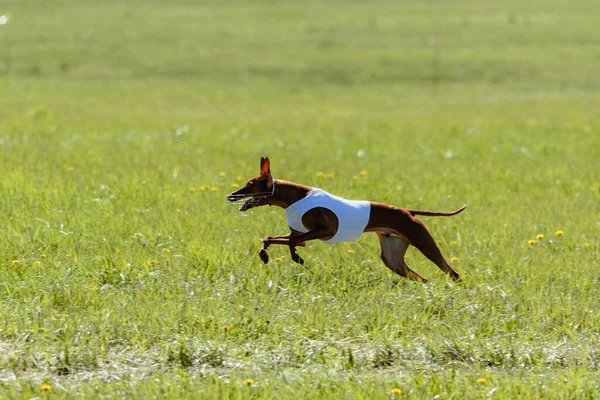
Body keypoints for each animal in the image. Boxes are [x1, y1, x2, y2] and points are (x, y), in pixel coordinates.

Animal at [225, 156, 464, 282]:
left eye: (249, 185)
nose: (230, 196)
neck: (296, 197)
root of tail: (407, 211)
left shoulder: (325, 230)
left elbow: (292, 242)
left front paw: (296, 258)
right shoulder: (302, 234)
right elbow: (271, 238)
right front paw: (264, 255)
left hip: (424, 243)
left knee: (452, 272)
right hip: (392, 258)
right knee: (423, 279)